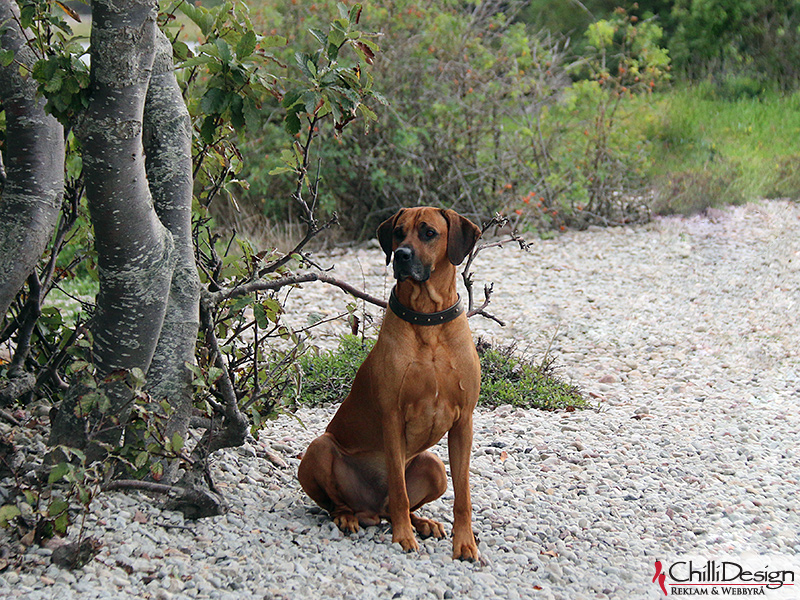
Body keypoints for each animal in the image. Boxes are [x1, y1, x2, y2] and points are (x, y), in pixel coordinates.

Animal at [298, 209, 482, 560]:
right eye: (398, 233)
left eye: (428, 233)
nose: (401, 255)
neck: (428, 321)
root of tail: (369, 509)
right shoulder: (393, 418)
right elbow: (398, 488)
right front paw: (403, 537)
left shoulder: (464, 421)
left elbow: (463, 495)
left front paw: (465, 543)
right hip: (319, 449)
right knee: (341, 504)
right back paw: (349, 518)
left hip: (433, 466)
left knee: (401, 503)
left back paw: (422, 522)